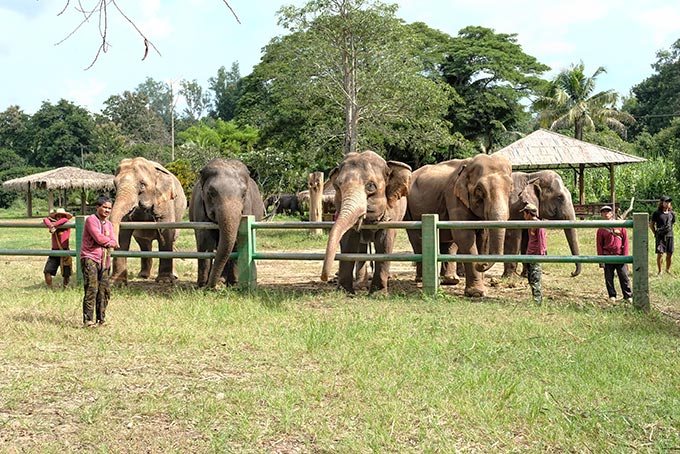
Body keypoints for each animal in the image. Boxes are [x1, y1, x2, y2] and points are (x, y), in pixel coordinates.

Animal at [191, 158, 268, 290]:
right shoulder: (199, 207)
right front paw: (201, 286)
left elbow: (236, 242)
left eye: (244, 194)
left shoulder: (247, 206)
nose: (210, 287)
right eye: (211, 193)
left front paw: (233, 285)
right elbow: (205, 241)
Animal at [322, 151, 412, 296]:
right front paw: (345, 292)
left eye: (370, 186)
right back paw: (361, 285)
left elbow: (384, 242)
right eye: (338, 186)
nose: (325, 277)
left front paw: (378, 294)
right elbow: (348, 241)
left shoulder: (391, 213)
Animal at [406, 153, 512, 298]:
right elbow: (464, 235)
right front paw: (476, 293)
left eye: (511, 188)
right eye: (479, 190)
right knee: (417, 240)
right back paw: (421, 279)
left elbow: (483, 237)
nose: (482, 264)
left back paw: (450, 280)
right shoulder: (454, 196)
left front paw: (481, 290)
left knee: (448, 242)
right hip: (408, 209)